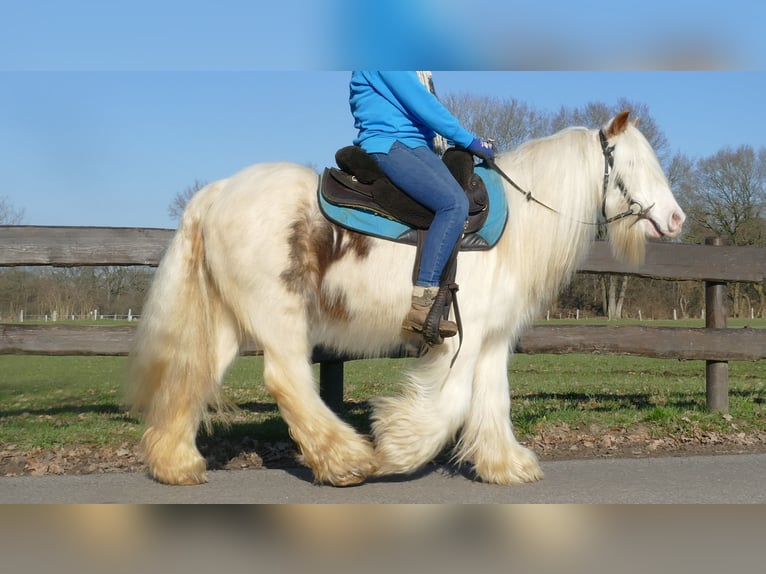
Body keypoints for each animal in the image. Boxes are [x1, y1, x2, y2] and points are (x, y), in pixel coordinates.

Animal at [129, 111, 688, 486]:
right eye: (633, 163)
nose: (677, 219)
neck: (514, 227)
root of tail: (217, 193)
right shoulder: (462, 335)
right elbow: (454, 400)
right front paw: (398, 446)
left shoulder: (492, 339)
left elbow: (493, 399)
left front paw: (506, 465)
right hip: (279, 315)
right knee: (286, 380)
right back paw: (349, 459)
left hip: (229, 320)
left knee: (195, 374)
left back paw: (176, 464)